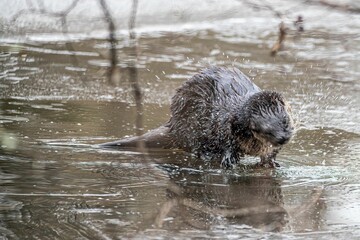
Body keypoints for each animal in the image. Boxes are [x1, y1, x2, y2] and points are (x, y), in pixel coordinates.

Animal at [100, 65, 294, 167]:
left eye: (284, 121)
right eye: (265, 130)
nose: (283, 138)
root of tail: (173, 123)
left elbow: (271, 155)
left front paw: (272, 163)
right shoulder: (224, 128)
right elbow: (227, 145)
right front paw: (229, 160)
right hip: (190, 128)